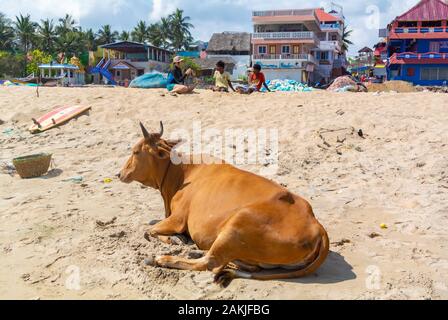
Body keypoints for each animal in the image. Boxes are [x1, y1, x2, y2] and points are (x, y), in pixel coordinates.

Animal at [118, 121, 328, 286]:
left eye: (135, 152)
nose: (119, 174)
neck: (181, 172)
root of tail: (317, 225)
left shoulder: (177, 218)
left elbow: (149, 230)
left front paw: (174, 239)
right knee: (242, 265)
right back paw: (196, 252)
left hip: (237, 224)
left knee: (210, 263)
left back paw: (160, 258)